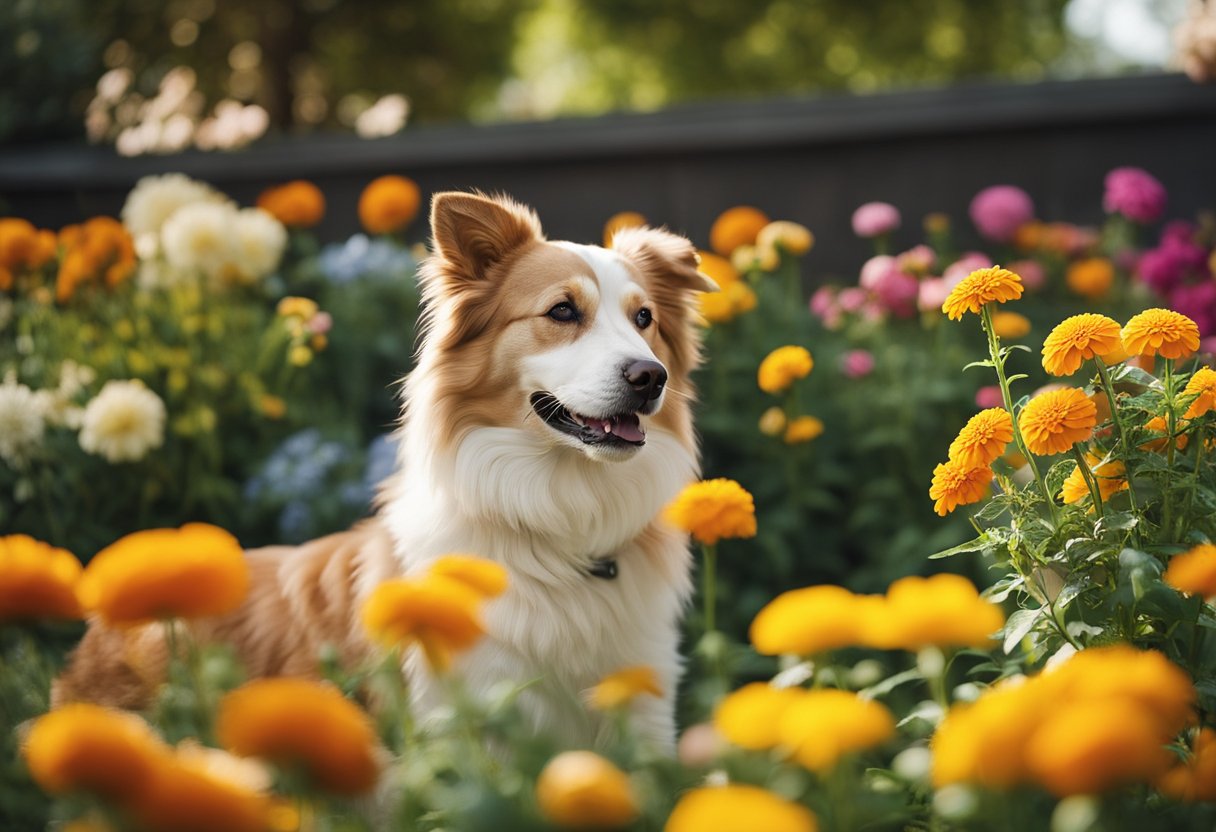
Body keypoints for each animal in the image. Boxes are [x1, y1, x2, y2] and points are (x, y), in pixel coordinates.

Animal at [57, 194, 715, 754]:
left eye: (645, 319)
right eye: (562, 311)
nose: (650, 377)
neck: (565, 529)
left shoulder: (642, 712)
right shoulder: (476, 723)